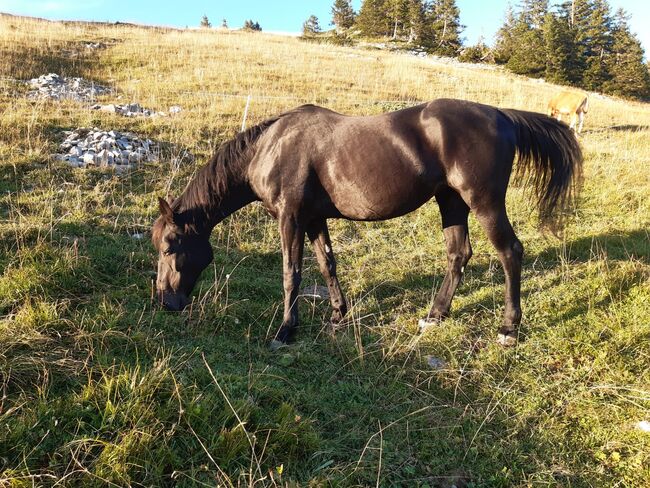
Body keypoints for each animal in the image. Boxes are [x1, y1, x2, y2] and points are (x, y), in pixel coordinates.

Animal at [153, 99, 584, 348]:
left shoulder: (291, 219)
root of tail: (502, 115)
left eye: (171, 245)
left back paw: (509, 329)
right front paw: (337, 315)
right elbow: (327, 263)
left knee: (510, 252)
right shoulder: (314, 218)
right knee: (459, 254)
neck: (271, 147)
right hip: (451, 201)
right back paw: (435, 315)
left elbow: (292, 273)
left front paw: (286, 331)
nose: (165, 301)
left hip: (484, 201)